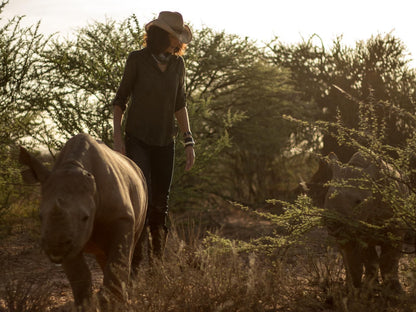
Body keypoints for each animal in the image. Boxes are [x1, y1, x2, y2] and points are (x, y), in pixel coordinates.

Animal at [20, 133, 150, 308]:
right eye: (40, 216)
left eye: (85, 217)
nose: (55, 247)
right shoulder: (70, 237)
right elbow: (79, 274)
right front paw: (86, 305)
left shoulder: (122, 217)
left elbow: (117, 261)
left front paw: (114, 305)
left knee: (130, 246)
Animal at [324, 152, 404, 294]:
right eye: (327, 198)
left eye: (358, 202)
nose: (333, 224)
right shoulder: (353, 227)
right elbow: (358, 258)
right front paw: (356, 288)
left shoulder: (395, 229)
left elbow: (390, 259)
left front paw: (394, 291)